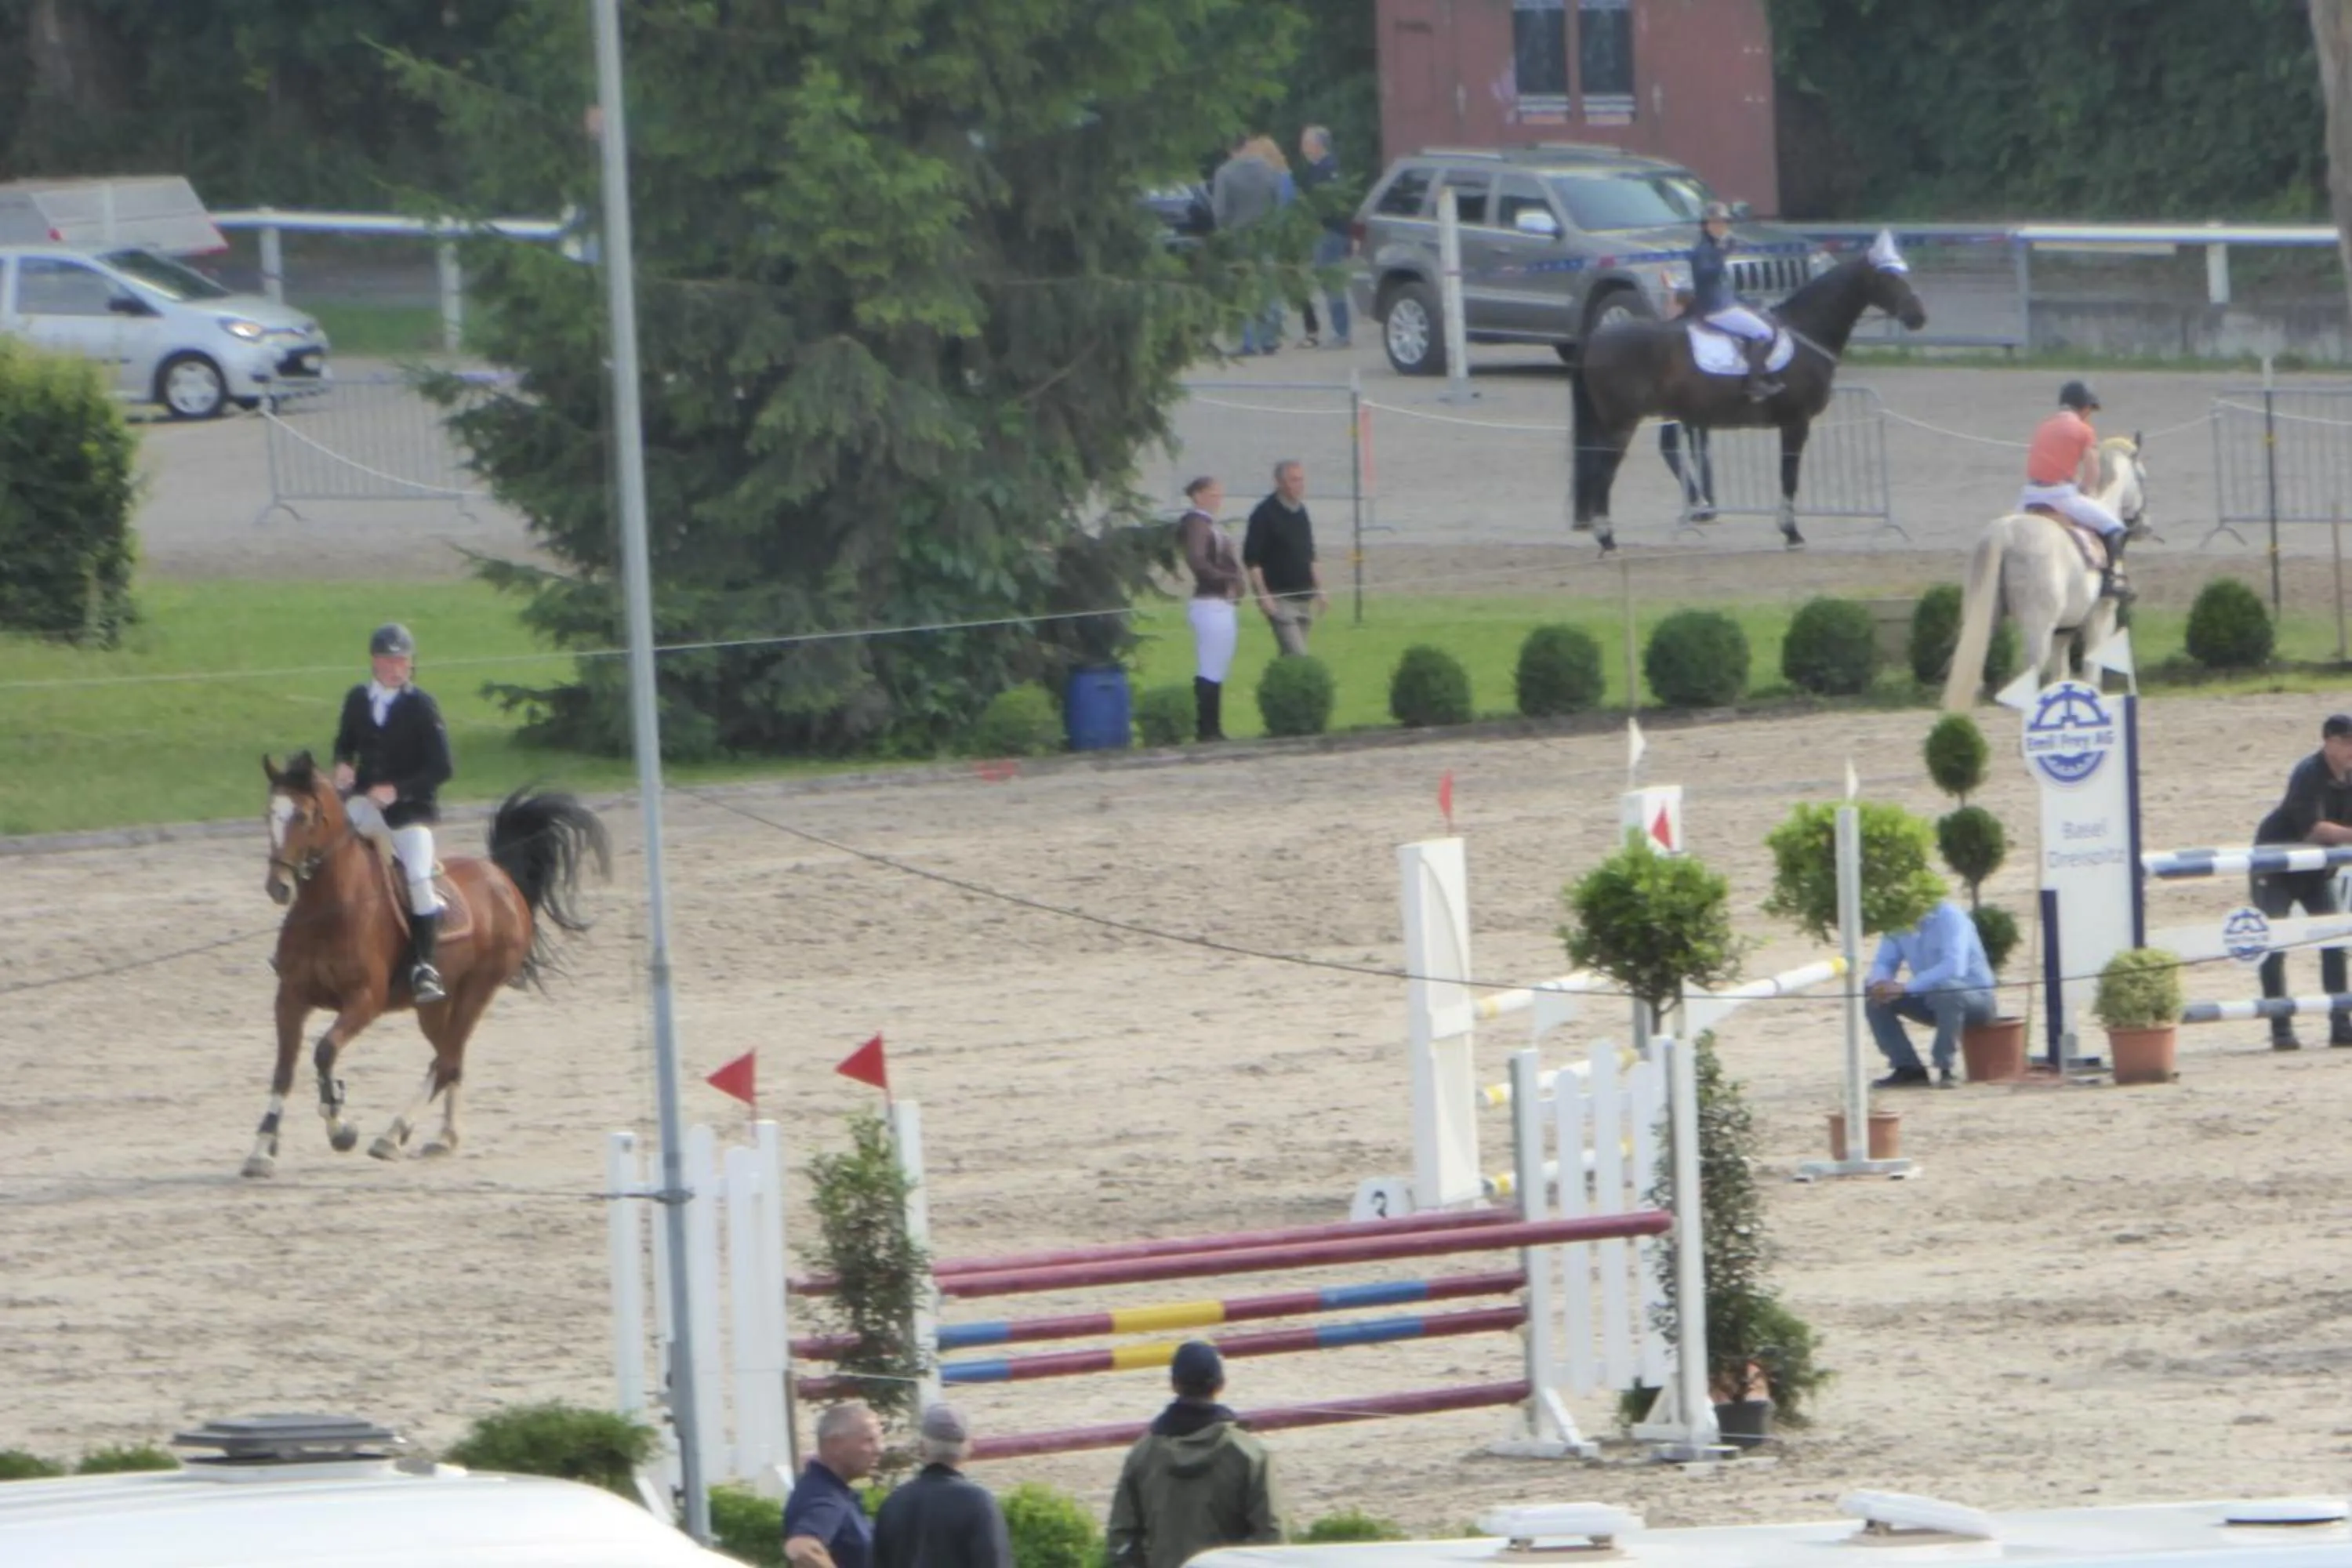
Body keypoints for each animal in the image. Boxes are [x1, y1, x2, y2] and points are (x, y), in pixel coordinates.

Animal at [247, 751, 610, 1177]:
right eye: (268, 814)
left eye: (303, 816)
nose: (279, 887)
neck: (330, 908)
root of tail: (501, 877)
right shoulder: (290, 998)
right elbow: (284, 1071)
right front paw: (262, 1149)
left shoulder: (363, 1001)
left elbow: (324, 1052)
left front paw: (341, 1129)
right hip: (435, 1004)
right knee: (450, 1059)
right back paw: (443, 1137)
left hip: (477, 991)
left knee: (448, 1060)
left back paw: (393, 1134)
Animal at [1569, 230, 1930, 553]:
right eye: (1887, 277)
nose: (1918, 317)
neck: (1805, 331)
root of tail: (1595, 338)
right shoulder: (1795, 423)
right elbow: (1789, 477)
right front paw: (1791, 533)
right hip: (1621, 425)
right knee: (1603, 475)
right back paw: (1607, 539)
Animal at [1939, 436, 2151, 712]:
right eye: (2143, 477)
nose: (2144, 526)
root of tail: (2005, 533)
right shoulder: (2101, 618)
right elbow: (2091, 671)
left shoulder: (2064, 629)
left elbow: (2060, 675)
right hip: (2038, 627)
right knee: (2029, 672)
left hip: (1984, 617)